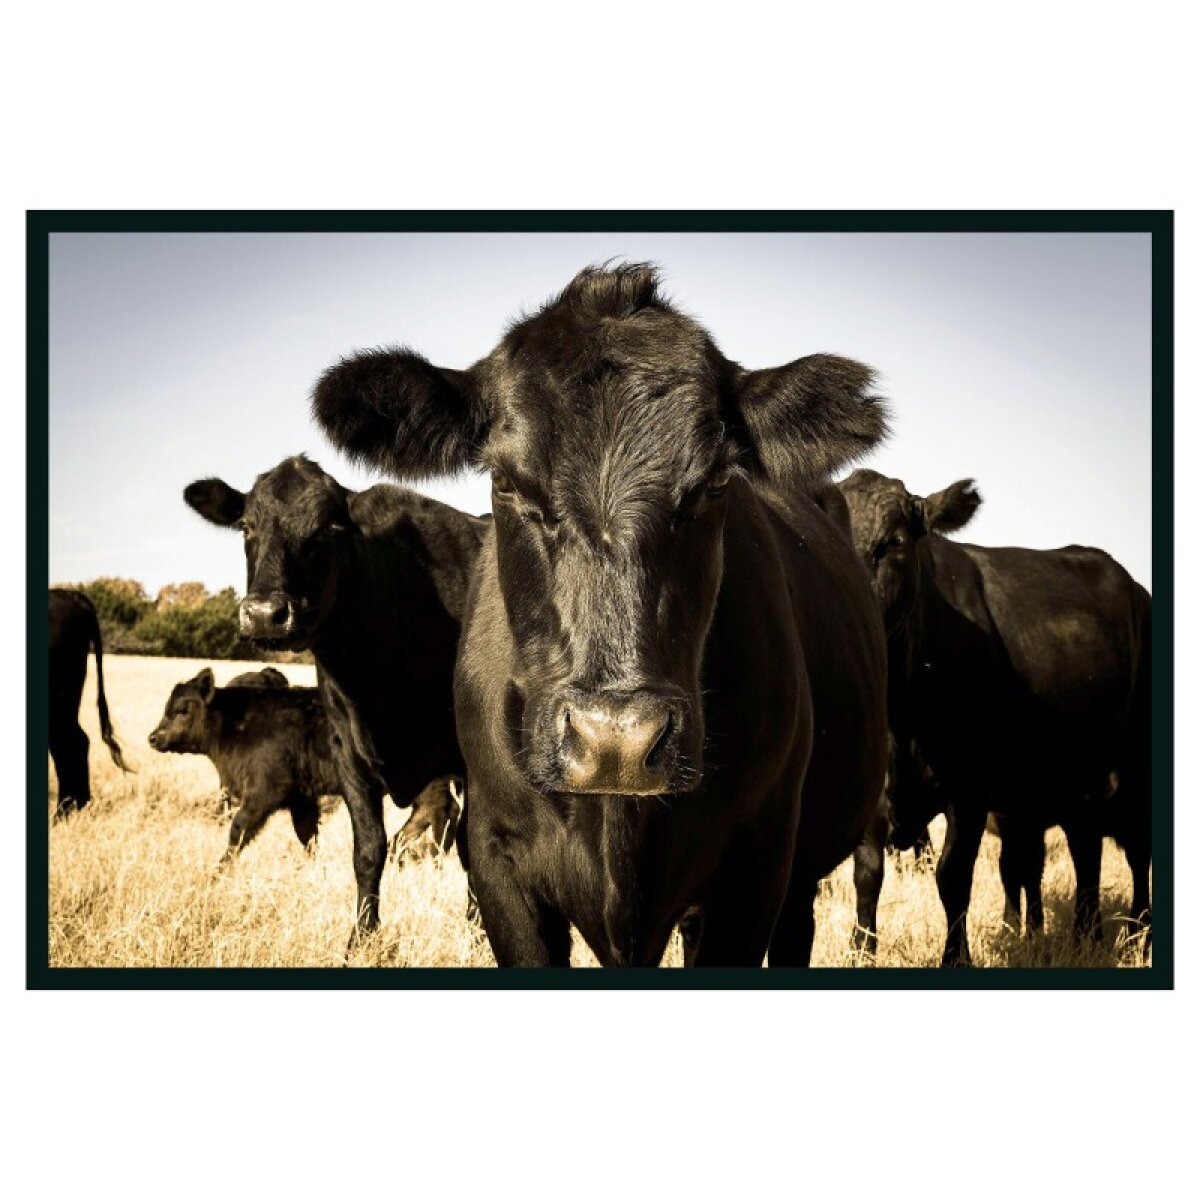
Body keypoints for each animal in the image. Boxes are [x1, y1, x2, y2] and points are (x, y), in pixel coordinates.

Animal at [182, 457, 488, 942]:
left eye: (328, 528)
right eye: (246, 526)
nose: (264, 614)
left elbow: (473, 851)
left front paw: (480, 934)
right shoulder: (348, 754)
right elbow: (369, 850)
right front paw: (361, 939)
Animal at [837, 468, 1151, 965]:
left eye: (894, 542)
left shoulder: (970, 790)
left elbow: (953, 877)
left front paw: (956, 958)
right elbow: (867, 876)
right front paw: (861, 951)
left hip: (1136, 770)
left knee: (1137, 852)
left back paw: (1139, 935)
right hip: (1076, 780)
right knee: (1085, 850)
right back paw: (1086, 936)